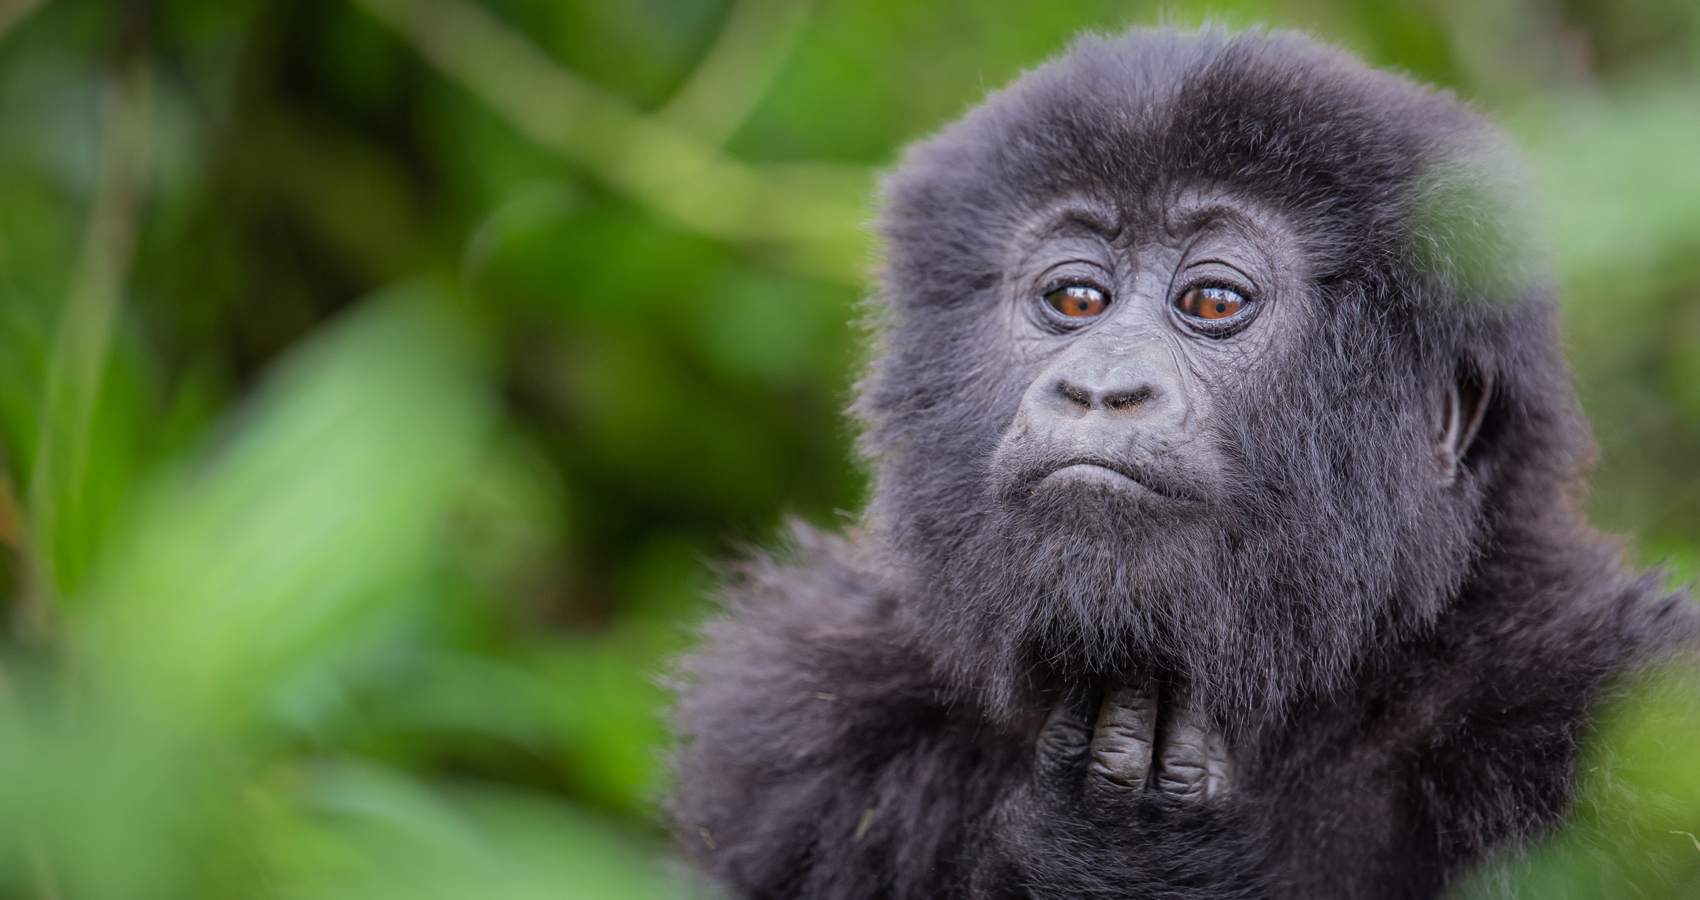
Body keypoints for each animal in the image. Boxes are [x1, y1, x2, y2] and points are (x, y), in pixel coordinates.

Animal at [669, 27, 1699, 900]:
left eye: (1211, 302)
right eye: (1076, 298)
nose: (1100, 390)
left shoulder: (1619, 712)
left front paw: (1127, 857)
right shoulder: (794, 713)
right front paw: (1108, 856)